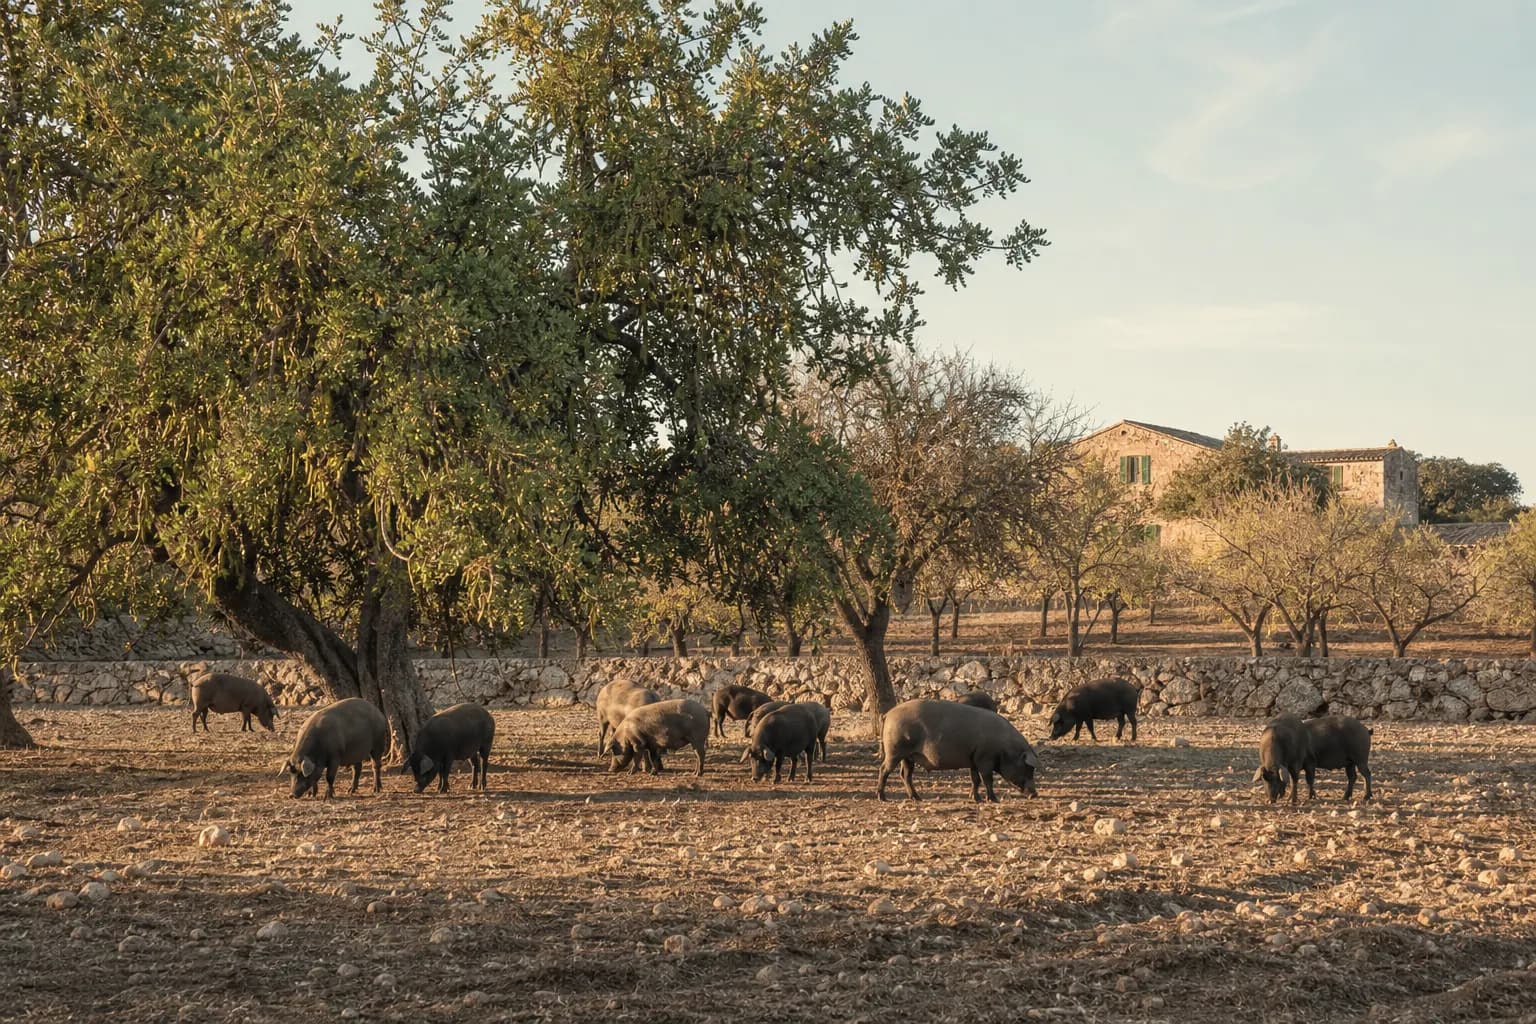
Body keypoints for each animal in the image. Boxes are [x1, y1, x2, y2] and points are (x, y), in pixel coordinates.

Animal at [877, 699, 1040, 803]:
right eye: (1028, 767)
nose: (1035, 794)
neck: (1005, 748)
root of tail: (887, 714)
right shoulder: (984, 759)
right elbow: (987, 780)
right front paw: (993, 800)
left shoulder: (973, 760)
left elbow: (975, 780)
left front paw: (976, 799)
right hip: (894, 751)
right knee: (884, 770)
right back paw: (882, 798)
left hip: (908, 756)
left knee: (905, 775)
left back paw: (917, 798)